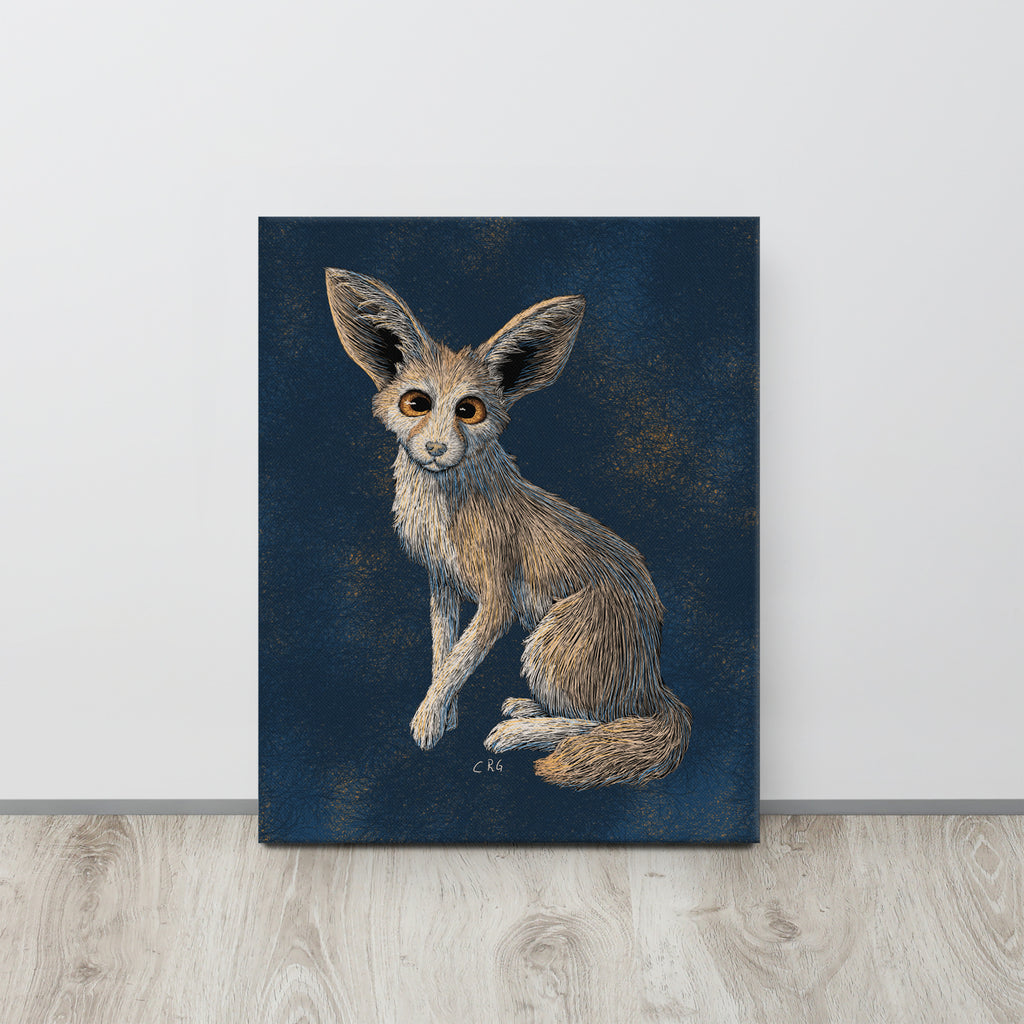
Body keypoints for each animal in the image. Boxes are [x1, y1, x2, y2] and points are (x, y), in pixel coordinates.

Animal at [326, 268, 692, 789]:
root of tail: (654, 681)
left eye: (469, 411)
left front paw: (427, 723)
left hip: (548, 642)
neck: (447, 504)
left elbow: (458, 660)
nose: (435, 449)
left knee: (606, 722)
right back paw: (525, 709)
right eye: (415, 403)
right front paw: (445, 715)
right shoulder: (442, 583)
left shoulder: (497, 601)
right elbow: (443, 654)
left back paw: (518, 734)